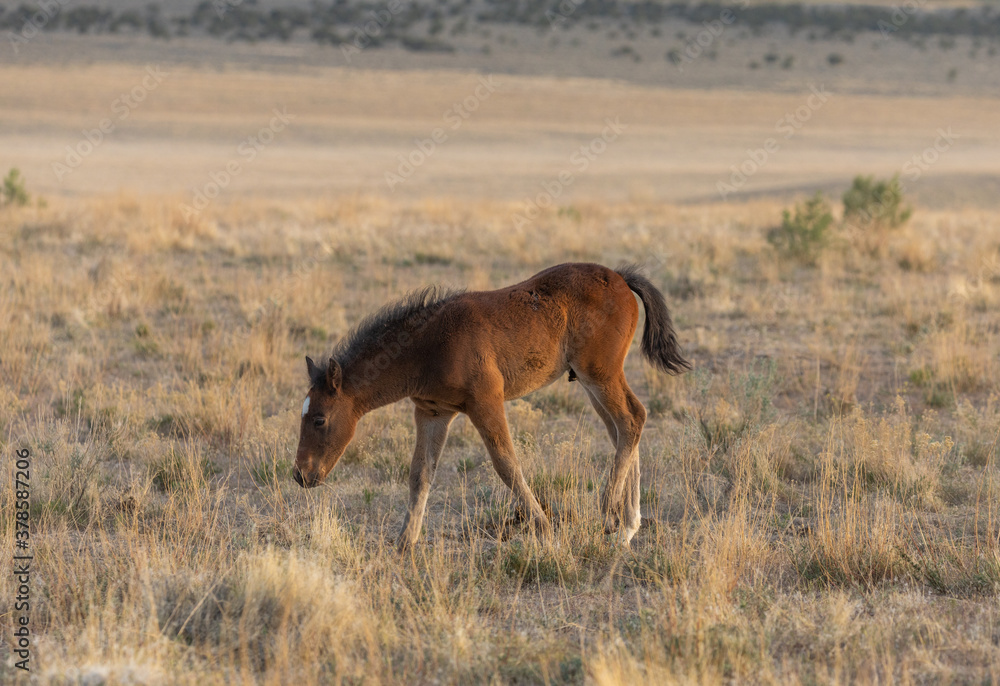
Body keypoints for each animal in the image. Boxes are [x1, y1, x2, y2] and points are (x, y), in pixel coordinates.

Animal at [293, 262, 690, 550]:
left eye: (319, 420)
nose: (300, 475)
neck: (427, 347)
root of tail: (620, 278)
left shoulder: (486, 401)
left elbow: (506, 465)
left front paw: (544, 531)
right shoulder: (433, 412)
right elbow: (420, 473)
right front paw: (404, 543)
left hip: (600, 373)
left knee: (632, 419)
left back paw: (610, 514)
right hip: (591, 380)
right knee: (622, 428)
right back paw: (627, 527)